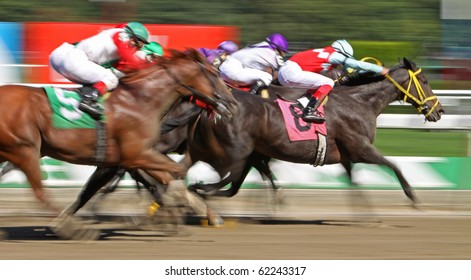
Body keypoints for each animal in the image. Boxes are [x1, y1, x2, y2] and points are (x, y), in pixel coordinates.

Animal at [0, 48, 236, 221]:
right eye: (215, 75)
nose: (233, 103)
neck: (141, 100)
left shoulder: (132, 157)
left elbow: (167, 175)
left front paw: (205, 212)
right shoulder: (136, 155)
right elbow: (174, 173)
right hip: (24, 149)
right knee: (39, 190)